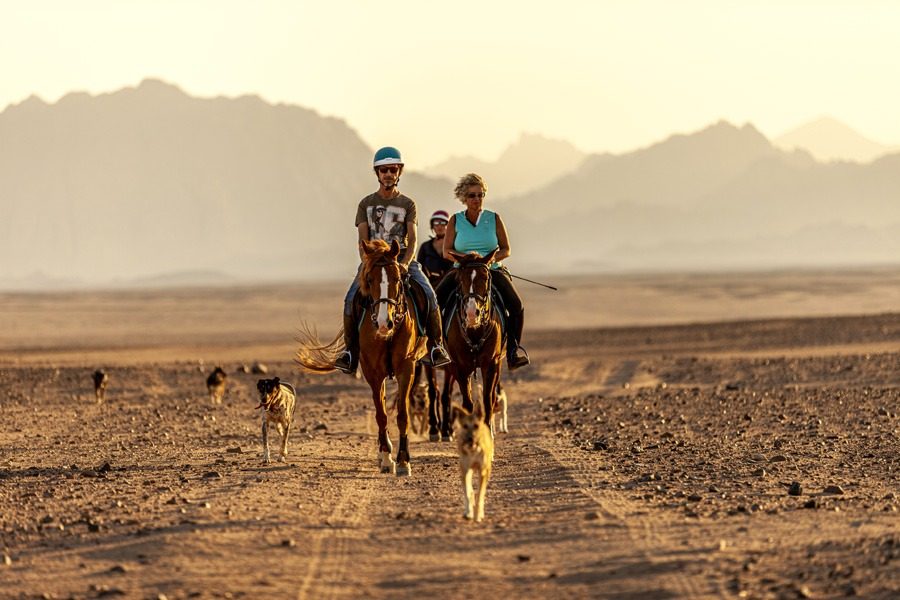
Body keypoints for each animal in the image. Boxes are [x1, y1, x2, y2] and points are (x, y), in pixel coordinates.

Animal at [295, 239, 426, 476]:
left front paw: (403, 461)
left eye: (397, 278)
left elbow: (402, 413)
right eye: (370, 279)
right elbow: (381, 414)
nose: (384, 323)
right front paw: (386, 458)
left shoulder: (406, 367)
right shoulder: (372, 371)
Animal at [439, 250, 504, 439]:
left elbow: (487, 400)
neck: (474, 331)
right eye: (460, 280)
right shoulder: (460, 367)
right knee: (444, 394)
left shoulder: (491, 364)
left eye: (486, 277)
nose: (471, 313)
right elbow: (467, 404)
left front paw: (488, 432)